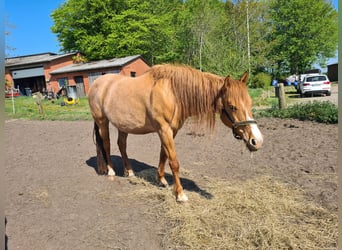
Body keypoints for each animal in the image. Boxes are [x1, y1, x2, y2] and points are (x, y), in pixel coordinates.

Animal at [87, 64, 262, 201]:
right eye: (232, 106)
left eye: (250, 102)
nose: (257, 141)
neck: (172, 92)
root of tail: (97, 83)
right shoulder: (164, 130)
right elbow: (174, 162)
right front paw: (180, 194)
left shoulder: (171, 131)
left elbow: (163, 155)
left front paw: (161, 180)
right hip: (102, 121)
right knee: (107, 145)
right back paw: (110, 171)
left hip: (124, 125)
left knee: (121, 145)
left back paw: (129, 172)